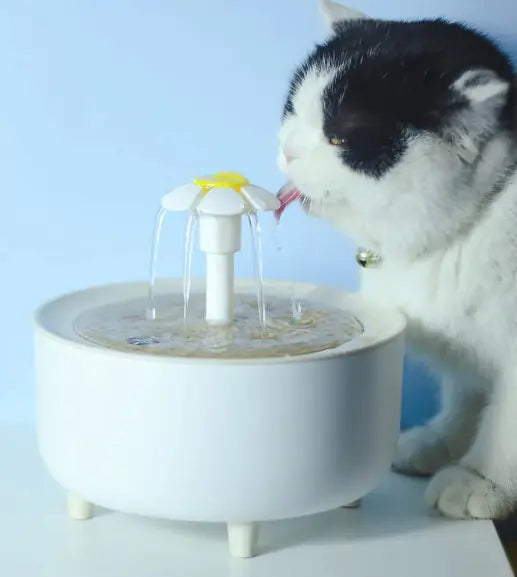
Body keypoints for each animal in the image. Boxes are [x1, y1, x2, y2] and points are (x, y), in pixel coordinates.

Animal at [276, 0, 516, 520]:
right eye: (293, 109)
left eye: (340, 139)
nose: (287, 149)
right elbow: (468, 389)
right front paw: (443, 441)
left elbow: (506, 419)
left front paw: (481, 478)